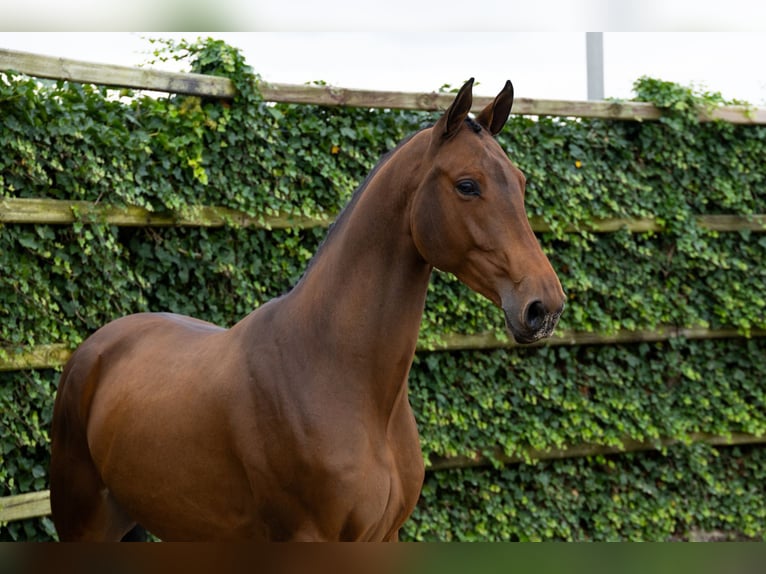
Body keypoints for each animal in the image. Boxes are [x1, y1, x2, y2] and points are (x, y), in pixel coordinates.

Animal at [49, 78, 566, 541]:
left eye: (521, 183)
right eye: (467, 185)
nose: (545, 306)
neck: (336, 373)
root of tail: (94, 348)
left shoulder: (384, 538)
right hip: (85, 525)